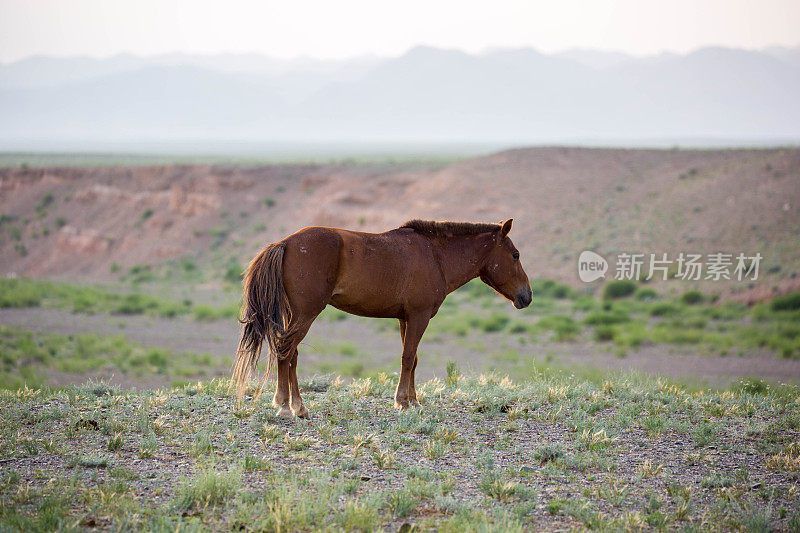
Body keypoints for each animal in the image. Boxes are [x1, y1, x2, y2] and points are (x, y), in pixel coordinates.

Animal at [231, 218, 532, 418]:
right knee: (285, 350)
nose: (527, 296)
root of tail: (284, 243)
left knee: (290, 353)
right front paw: (402, 402)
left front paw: (413, 401)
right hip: (306, 313)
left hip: (296, 315)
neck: (436, 255)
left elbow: (413, 359)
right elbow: (408, 358)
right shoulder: (420, 316)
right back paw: (284, 405)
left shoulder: (405, 318)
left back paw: (299, 406)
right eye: (515, 254)